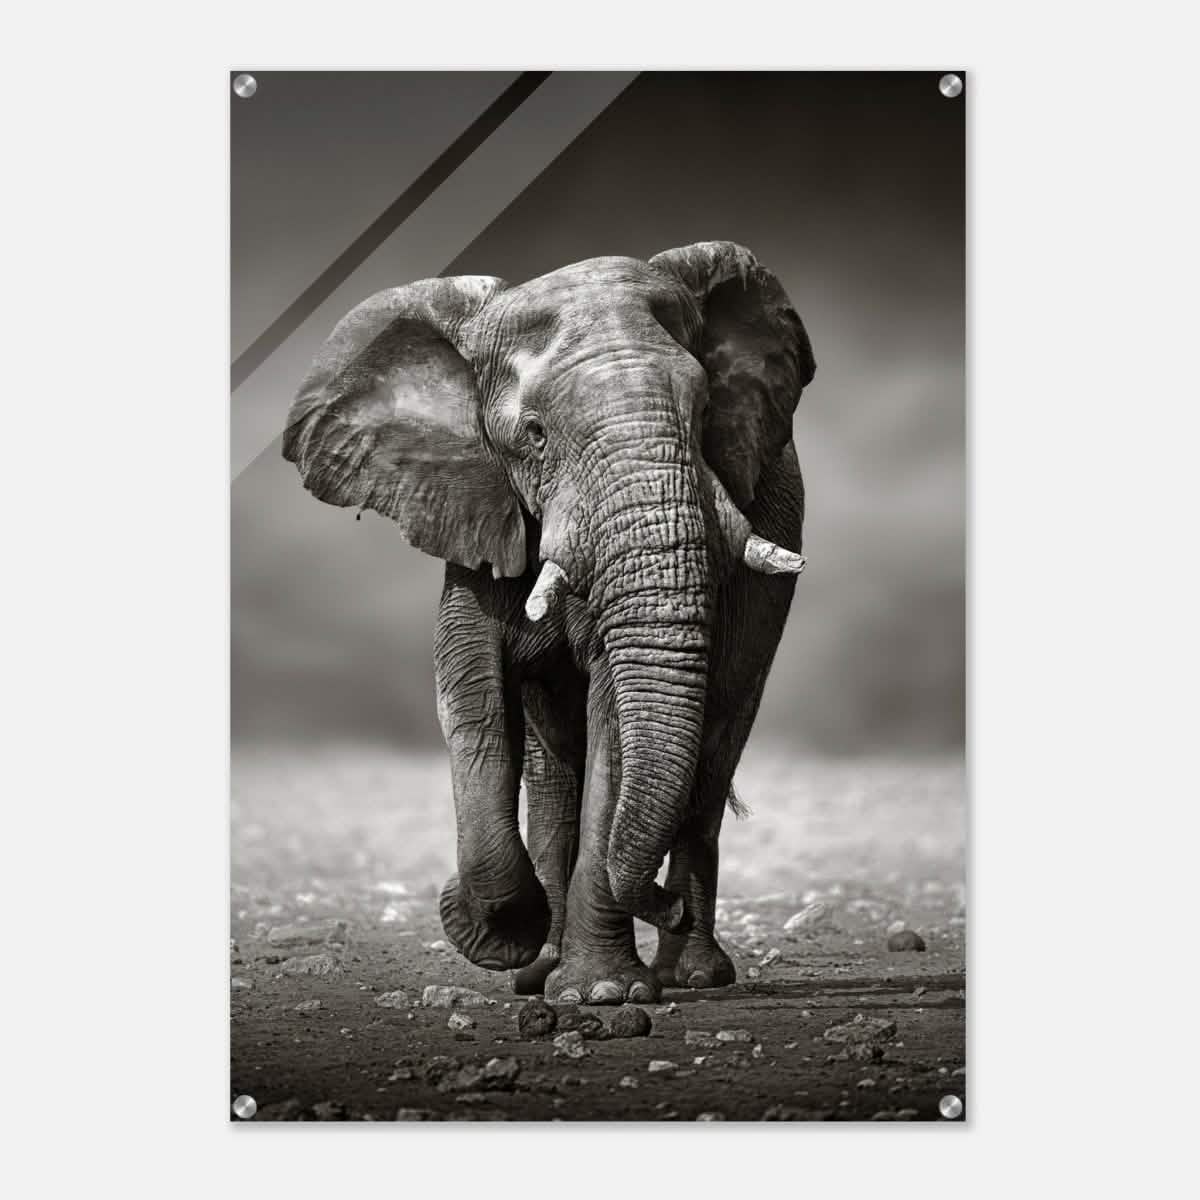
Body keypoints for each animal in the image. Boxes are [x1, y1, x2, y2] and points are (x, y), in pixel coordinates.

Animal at [283, 241, 815, 1004]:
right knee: (554, 771)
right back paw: (542, 970)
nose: (661, 904)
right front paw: (499, 933)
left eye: (706, 409)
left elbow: (614, 716)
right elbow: (470, 694)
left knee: (713, 751)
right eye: (534, 436)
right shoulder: (475, 506)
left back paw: (690, 974)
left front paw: (603, 994)